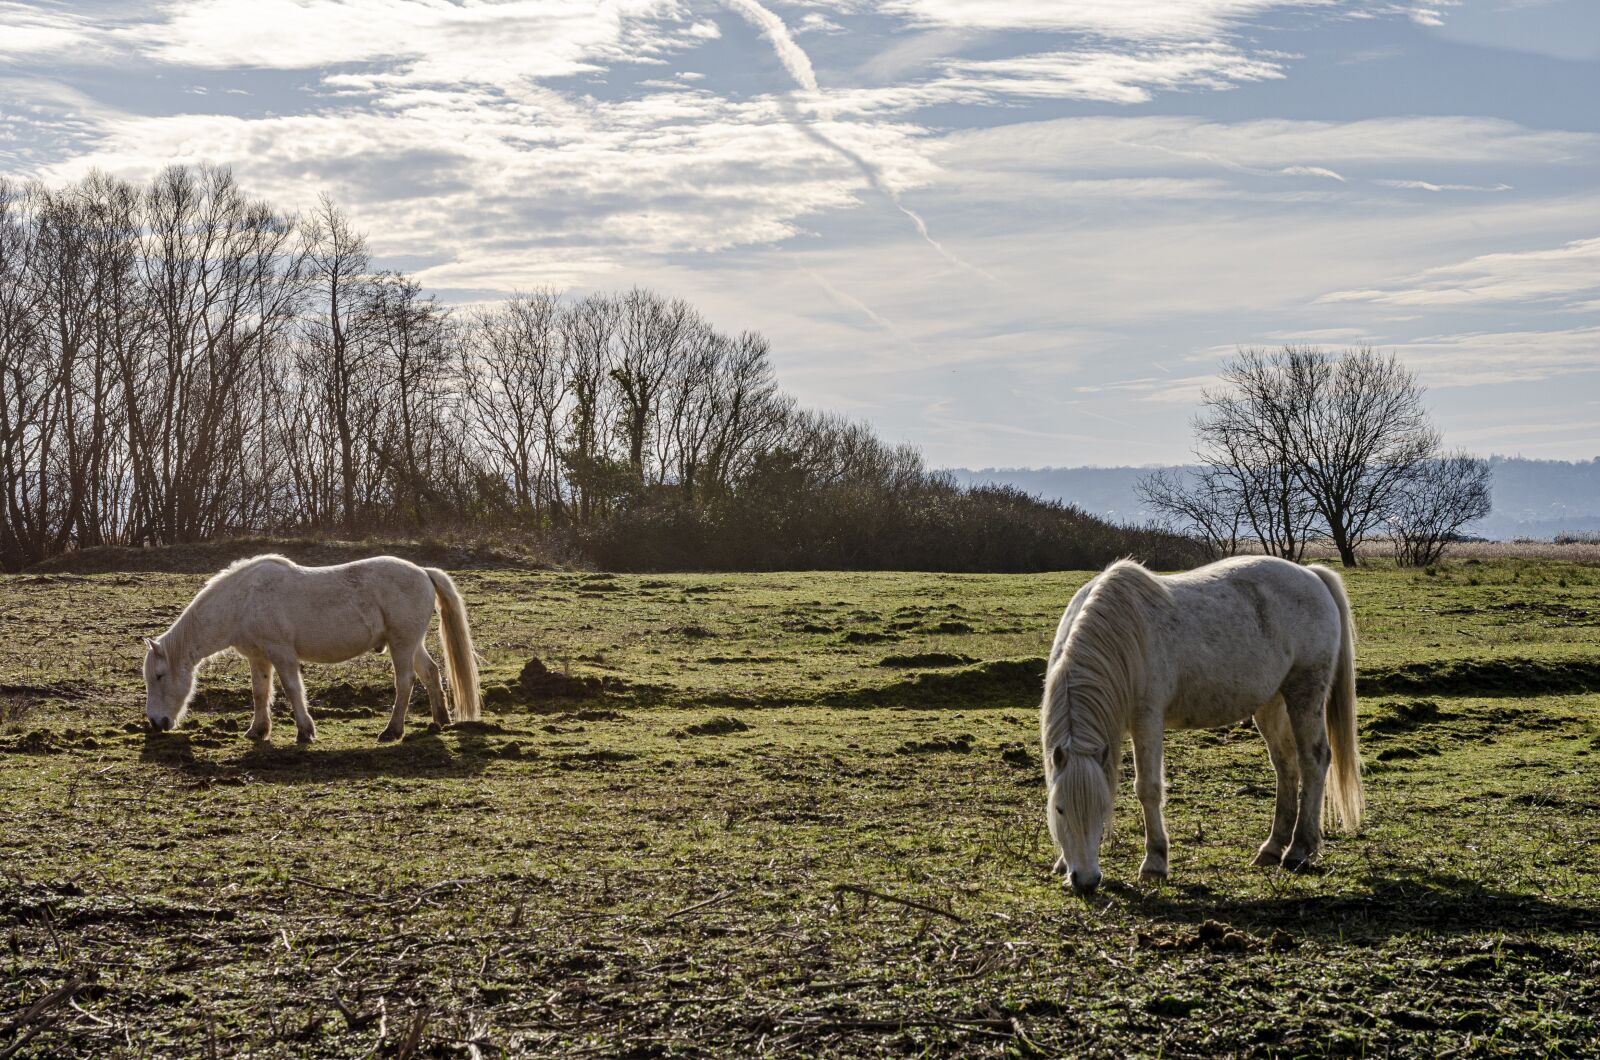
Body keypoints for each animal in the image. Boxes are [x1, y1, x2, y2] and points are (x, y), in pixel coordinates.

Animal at [143, 554, 481, 744]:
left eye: (159, 676)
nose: (156, 723)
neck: (241, 601)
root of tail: (423, 571)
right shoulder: (259, 658)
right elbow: (260, 692)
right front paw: (257, 731)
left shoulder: (281, 654)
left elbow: (293, 689)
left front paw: (305, 732)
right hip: (411, 645)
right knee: (431, 673)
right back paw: (440, 720)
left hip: (402, 645)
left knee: (405, 682)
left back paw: (393, 731)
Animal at [1041, 555, 1362, 895]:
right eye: (1059, 808)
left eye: (1102, 808)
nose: (1085, 880)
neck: (1119, 635)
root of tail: (1311, 575)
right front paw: (1061, 863)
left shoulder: (1147, 720)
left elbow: (1148, 789)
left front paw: (1155, 863)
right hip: (1271, 703)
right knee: (1286, 765)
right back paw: (1272, 848)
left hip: (1305, 692)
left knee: (1314, 761)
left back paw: (1299, 850)